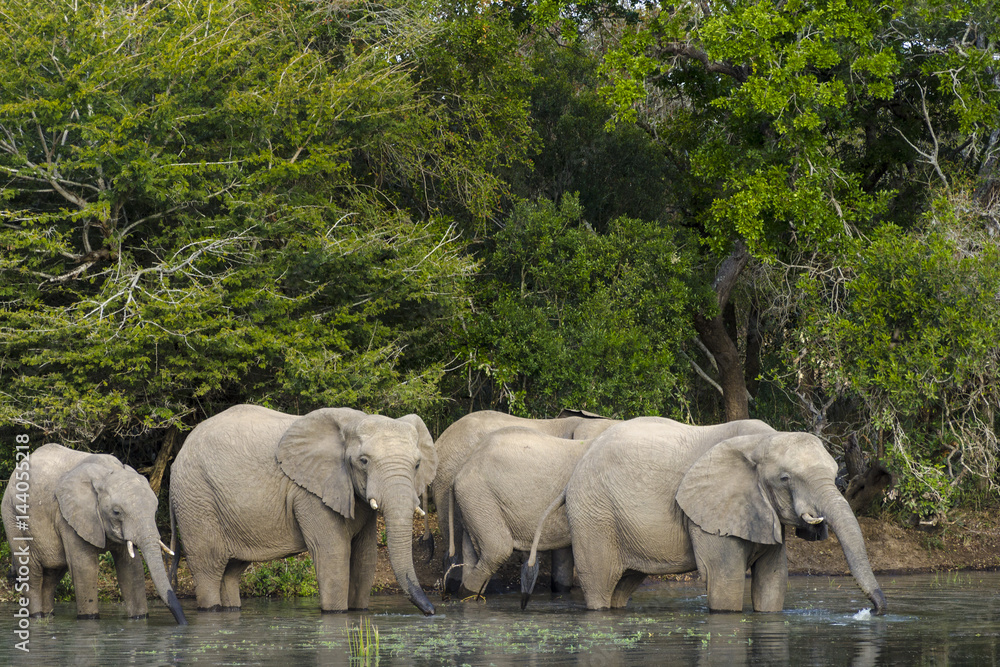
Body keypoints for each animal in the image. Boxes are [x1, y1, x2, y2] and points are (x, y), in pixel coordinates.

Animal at [0, 446, 188, 624]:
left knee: (52, 575)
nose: (183, 623)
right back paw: (36, 616)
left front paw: (140, 618)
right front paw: (89, 619)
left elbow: (131, 568)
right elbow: (85, 567)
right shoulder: (69, 517)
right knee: (32, 574)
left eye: (155, 509)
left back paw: (47, 616)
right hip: (13, 518)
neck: (106, 472)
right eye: (116, 512)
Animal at [168, 402, 438, 616]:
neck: (352, 422)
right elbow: (333, 553)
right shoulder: (310, 494)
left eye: (417, 464)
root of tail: (176, 458)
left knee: (230, 572)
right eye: (363, 461)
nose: (432, 611)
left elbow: (365, 556)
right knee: (209, 567)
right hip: (196, 498)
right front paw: (337, 613)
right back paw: (211, 608)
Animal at [520, 418, 888, 616]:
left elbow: (773, 581)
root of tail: (571, 478)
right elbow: (725, 582)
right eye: (785, 479)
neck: (761, 440)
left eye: (835, 473)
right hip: (593, 515)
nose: (874, 609)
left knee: (621, 587)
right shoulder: (711, 511)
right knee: (600, 583)